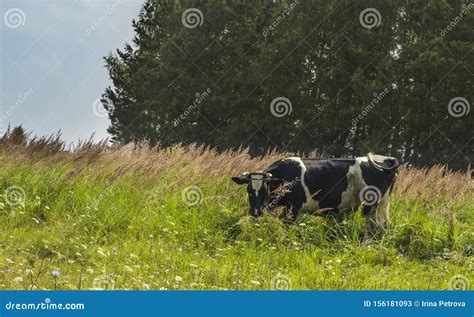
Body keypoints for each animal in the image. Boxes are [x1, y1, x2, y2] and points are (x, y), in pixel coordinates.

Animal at [231, 152, 400, 238]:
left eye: (264, 190)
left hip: (369, 204)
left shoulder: (294, 207)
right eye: (249, 190)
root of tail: (387, 159)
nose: (255, 212)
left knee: (372, 227)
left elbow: (287, 226)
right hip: (383, 203)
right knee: (384, 225)